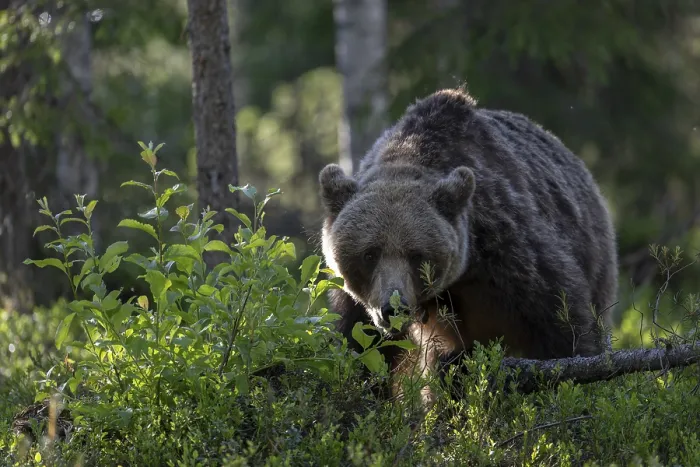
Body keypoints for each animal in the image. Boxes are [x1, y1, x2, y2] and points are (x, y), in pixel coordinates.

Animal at [318, 87, 618, 404]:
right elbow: (358, 348)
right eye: (370, 253)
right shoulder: (355, 301)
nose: (394, 308)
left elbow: (564, 327)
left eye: (417, 255)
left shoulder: (509, 251)